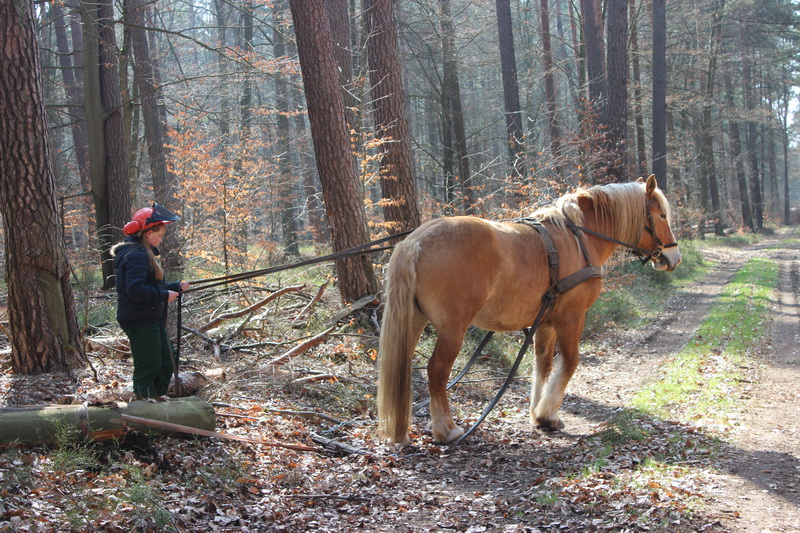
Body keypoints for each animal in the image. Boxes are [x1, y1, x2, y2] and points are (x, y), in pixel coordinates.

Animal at [377, 175, 682, 445]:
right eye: (661, 215)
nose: (674, 257)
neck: (579, 238)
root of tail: (416, 241)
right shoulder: (572, 317)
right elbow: (569, 363)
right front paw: (548, 414)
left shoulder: (545, 322)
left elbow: (543, 365)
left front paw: (538, 413)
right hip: (452, 330)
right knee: (436, 373)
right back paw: (446, 430)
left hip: (414, 322)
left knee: (403, 371)